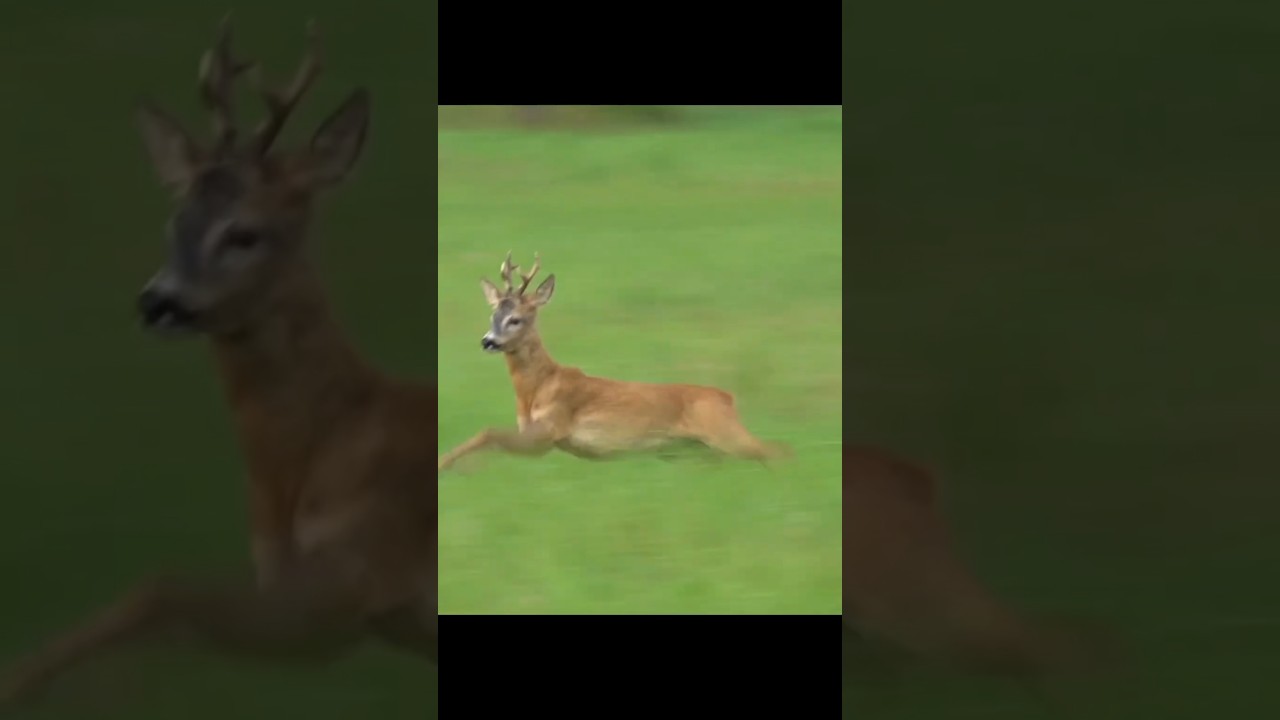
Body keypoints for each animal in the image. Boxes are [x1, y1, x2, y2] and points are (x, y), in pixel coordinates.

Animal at [0, 18, 437, 707]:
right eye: (174, 220)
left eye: (245, 232)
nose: (157, 302)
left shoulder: (357, 575)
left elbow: (161, 589)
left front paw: (15, 685)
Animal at [436, 252, 792, 473]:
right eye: (493, 315)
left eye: (517, 319)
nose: (488, 341)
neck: (538, 386)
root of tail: (726, 397)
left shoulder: (551, 429)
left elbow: (488, 432)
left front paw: (443, 464)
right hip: (695, 449)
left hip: (723, 432)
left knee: (777, 450)